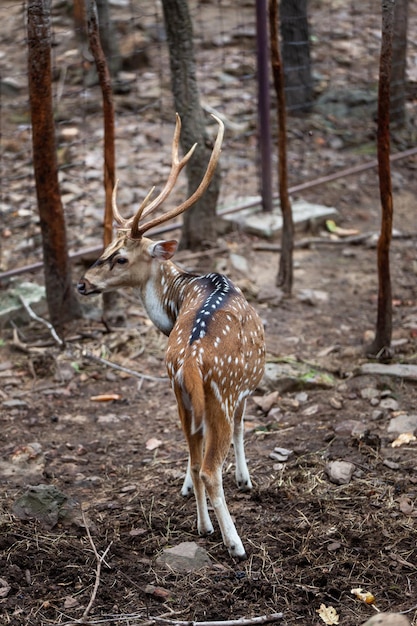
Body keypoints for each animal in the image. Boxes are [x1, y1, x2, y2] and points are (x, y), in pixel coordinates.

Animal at [77, 114, 264, 560]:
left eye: (118, 256)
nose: (83, 283)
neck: (182, 296)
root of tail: (192, 360)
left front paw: (183, 489)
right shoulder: (244, 391)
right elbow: (243, 428)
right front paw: (247, 479)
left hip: (179, 392)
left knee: (197, 461)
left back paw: (203, 525)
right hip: (220, 395)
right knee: (210, 468)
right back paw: (234, 542)